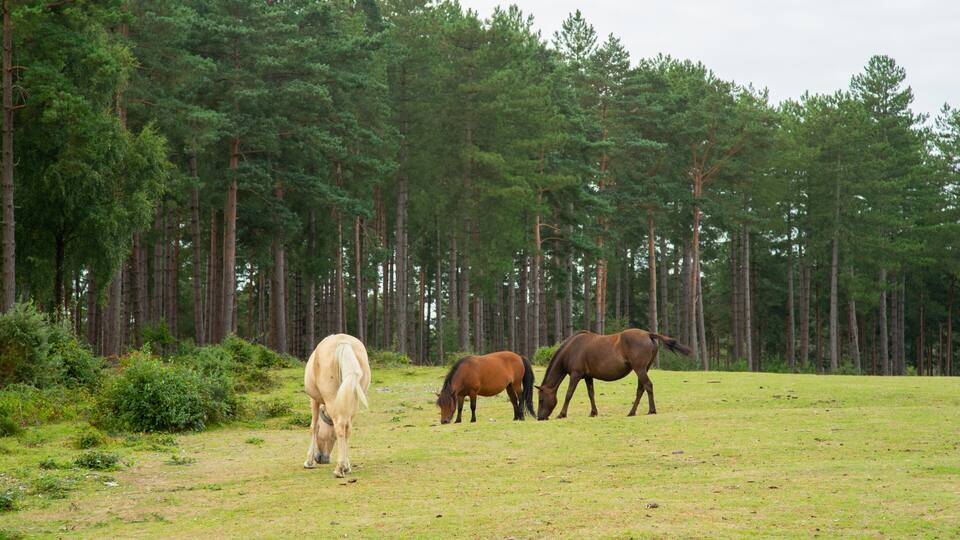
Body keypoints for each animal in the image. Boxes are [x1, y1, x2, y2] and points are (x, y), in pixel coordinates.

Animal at [303, 334, 371, 477]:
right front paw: (348, 465)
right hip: (353, 400)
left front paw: (309, 462)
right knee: (347, 428)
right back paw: (344, 467)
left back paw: (339, 469)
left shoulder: (313, 400)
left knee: (340, 425)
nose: (322, 459)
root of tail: (343, 342)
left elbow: (313, 427)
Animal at [535, 329, 691, 420]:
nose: (540, 417)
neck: (572, 348)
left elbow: (569, 394)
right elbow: (591, 394)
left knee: (648, 386)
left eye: (541, 400)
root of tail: (648, 334)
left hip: (639, 369)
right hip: (643, 369)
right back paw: (632, 412)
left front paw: (562, 414)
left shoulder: (575, 375)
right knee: (641, 389)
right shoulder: (588, 377)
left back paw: (651, 410)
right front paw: (593, 412)